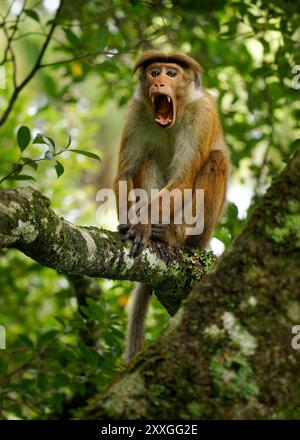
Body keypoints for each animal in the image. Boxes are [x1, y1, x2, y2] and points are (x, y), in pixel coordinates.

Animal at [115, 49, 230, 362]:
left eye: (171, 73)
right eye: (154, 73)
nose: (159, 84)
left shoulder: (201, 116)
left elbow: (183, 179)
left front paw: (142, 226)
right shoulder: (136, 113)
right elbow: (125, 173)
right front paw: (132, 223)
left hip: (203, 231)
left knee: (216, 159)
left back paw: (170, 236)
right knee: (147, 158)